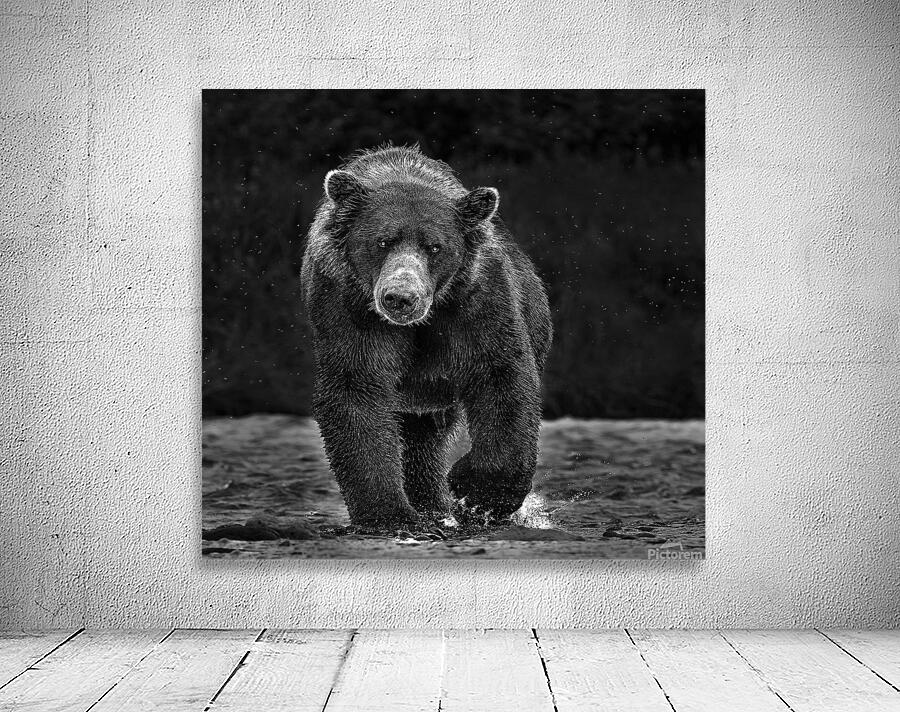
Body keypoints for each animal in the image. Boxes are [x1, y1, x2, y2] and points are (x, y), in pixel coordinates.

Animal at [301, 145, 552, 527]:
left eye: (435, 247)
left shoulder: (475, 303)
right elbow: (356, 391)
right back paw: (430, 506)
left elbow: (501, 377)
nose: (401, 297)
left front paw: (475, 491)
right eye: (382, 241)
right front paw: (390, 513)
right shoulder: (348, 305)